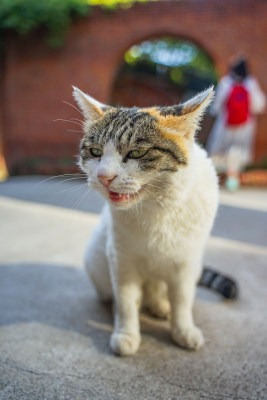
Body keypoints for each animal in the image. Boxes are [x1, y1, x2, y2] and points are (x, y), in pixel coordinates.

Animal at [72, 85, 236, 356]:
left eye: (136, 153)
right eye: (95, 152)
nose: (104, 176)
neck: (157, 209)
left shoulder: (186, 263)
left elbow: (182, 300)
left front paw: (183, 331)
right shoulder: (122, 259)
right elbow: (126, 301)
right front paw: (126, 334)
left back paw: (160, 307)